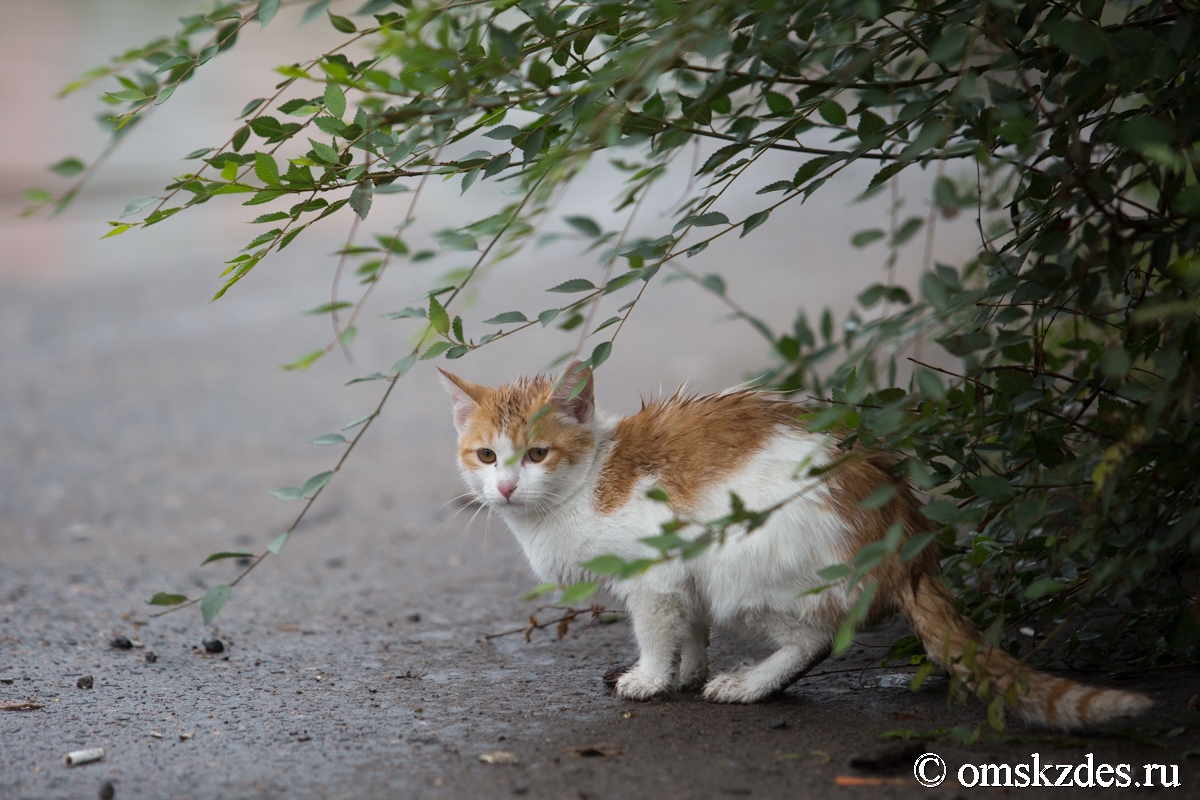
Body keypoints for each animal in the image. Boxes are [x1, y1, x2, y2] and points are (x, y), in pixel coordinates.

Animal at [441, 362, 1152, 734]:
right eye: (486, 456)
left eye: (537, 454)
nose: (505, 487)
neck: (586, 482)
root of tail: (906, 529)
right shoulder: (682, 582)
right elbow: (690, 630)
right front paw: (687, 669)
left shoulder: (657, 577)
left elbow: (658, 630)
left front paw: (651, 678)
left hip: (742, 567)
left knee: (815, 638)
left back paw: (751, 685)